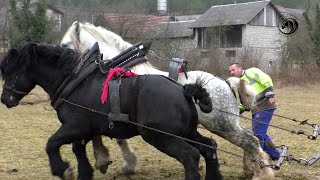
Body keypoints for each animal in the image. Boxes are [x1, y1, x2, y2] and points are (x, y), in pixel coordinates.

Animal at [0, 42, 221, 180]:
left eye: (11, 71)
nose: (4, 99)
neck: (77, 80)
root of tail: (182, 89)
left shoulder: (74, 127)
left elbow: (51, 143)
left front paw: (62, 169)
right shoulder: (84, 130)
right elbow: (78, 150)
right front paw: (86, 172)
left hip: (161, 136)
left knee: (190, 156)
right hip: (186, 132)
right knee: (209, 148)